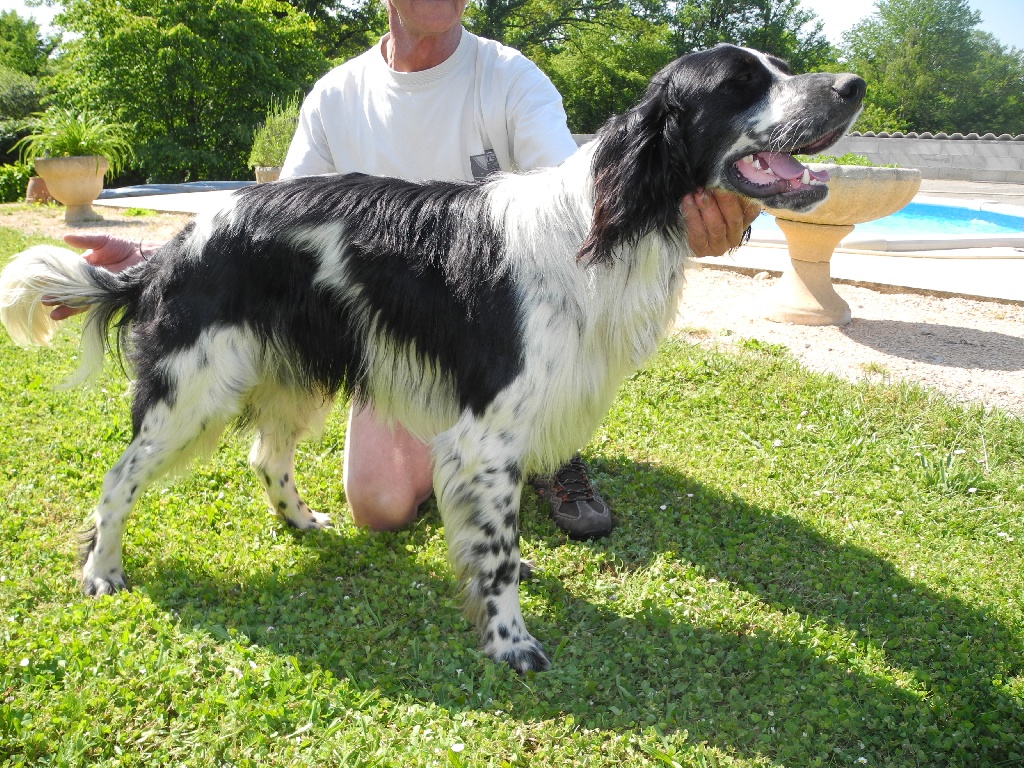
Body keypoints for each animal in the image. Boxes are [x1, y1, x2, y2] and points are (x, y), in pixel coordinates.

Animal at [2, 46, 864, 671]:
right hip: (192, 391)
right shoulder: (486, 437)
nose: (853, 85)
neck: (603, 223)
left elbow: (496, 542)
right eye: (744, 82)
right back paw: (102, 569)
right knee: (118, 480)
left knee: (264, 455)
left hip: (287, 374)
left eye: (783, 66)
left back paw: (302, 520)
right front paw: (510, 642)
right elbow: (497, 557)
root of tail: (172, 245)